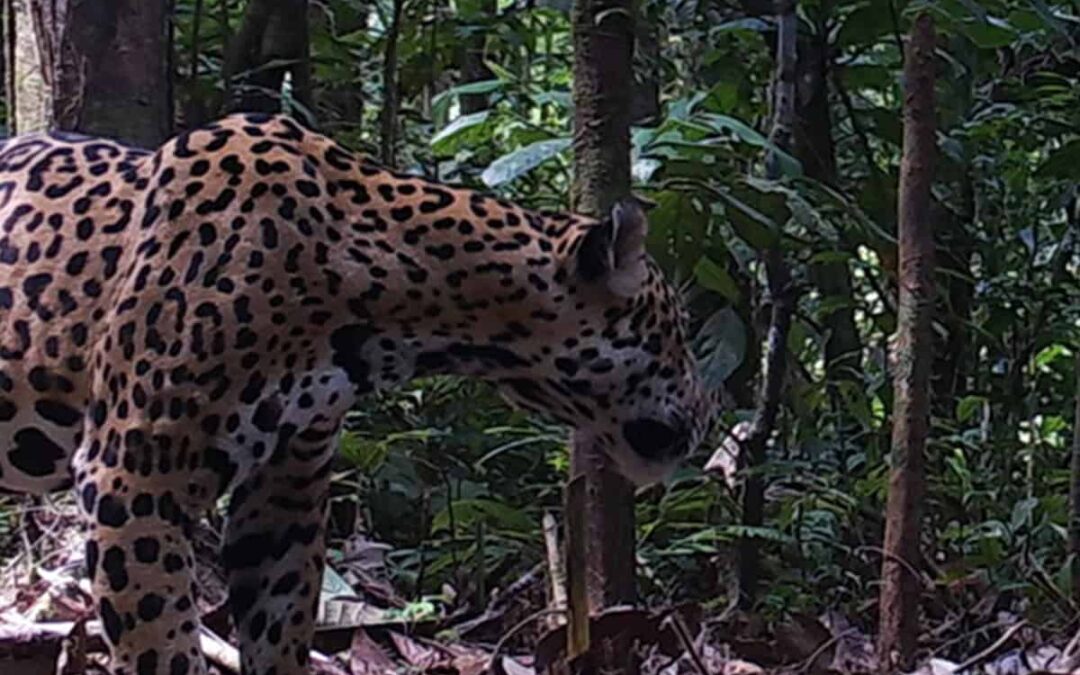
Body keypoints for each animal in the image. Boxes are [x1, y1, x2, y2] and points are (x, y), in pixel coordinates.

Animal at [0, 113, 715, 675]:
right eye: (676, 329)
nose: (708, 415)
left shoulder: (285, 489)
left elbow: (280, 628)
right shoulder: (134, 478)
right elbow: (162, 644)